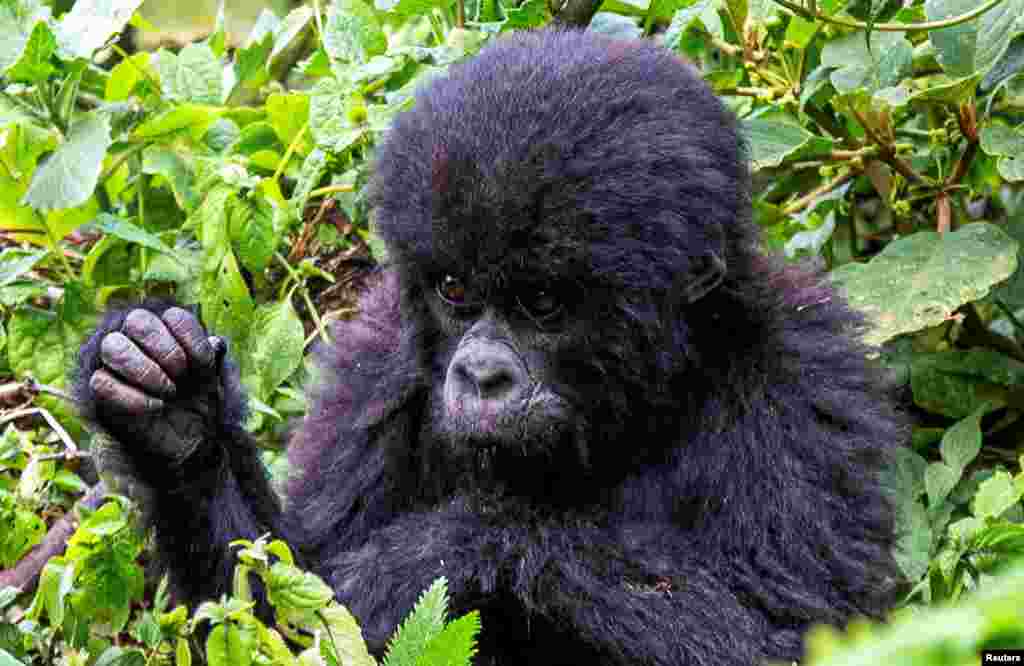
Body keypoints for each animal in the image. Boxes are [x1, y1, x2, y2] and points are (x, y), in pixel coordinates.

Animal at [74, 28, 905, 663]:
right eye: (453, 290)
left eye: (542, 303)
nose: (478, 374)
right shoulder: (379, 362)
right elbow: (278, 603)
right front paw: (176, 420)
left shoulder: (803, 384)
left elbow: (788, 638)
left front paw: (439, 552)